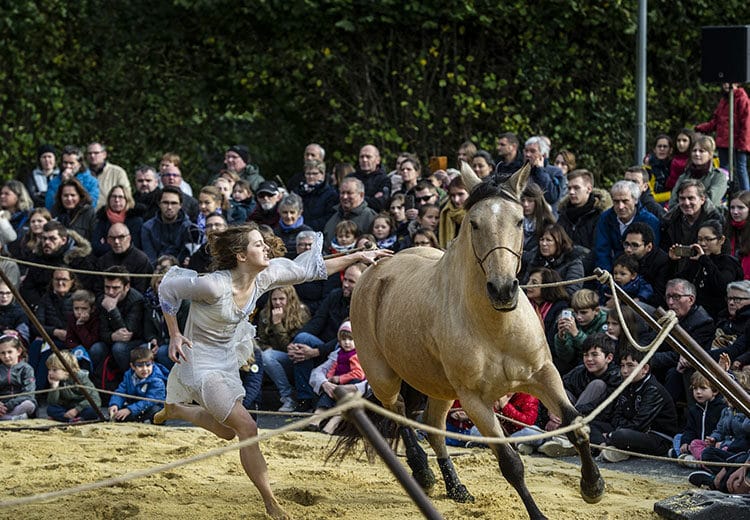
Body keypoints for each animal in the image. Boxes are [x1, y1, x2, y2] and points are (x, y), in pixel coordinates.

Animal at [350, 162, 608, 520]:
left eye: (519, 220)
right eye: (474, 223)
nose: (503, 290)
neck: (495, 327)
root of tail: (376, 270)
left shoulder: (543, 374)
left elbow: (576, 425)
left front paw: (592, 486)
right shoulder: (474, 400)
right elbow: (511, 463)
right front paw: (540, 513)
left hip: (440, 388)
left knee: (433, 425)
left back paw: (456, 488)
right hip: (384, 376)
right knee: (399, 413)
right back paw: (423, 473)